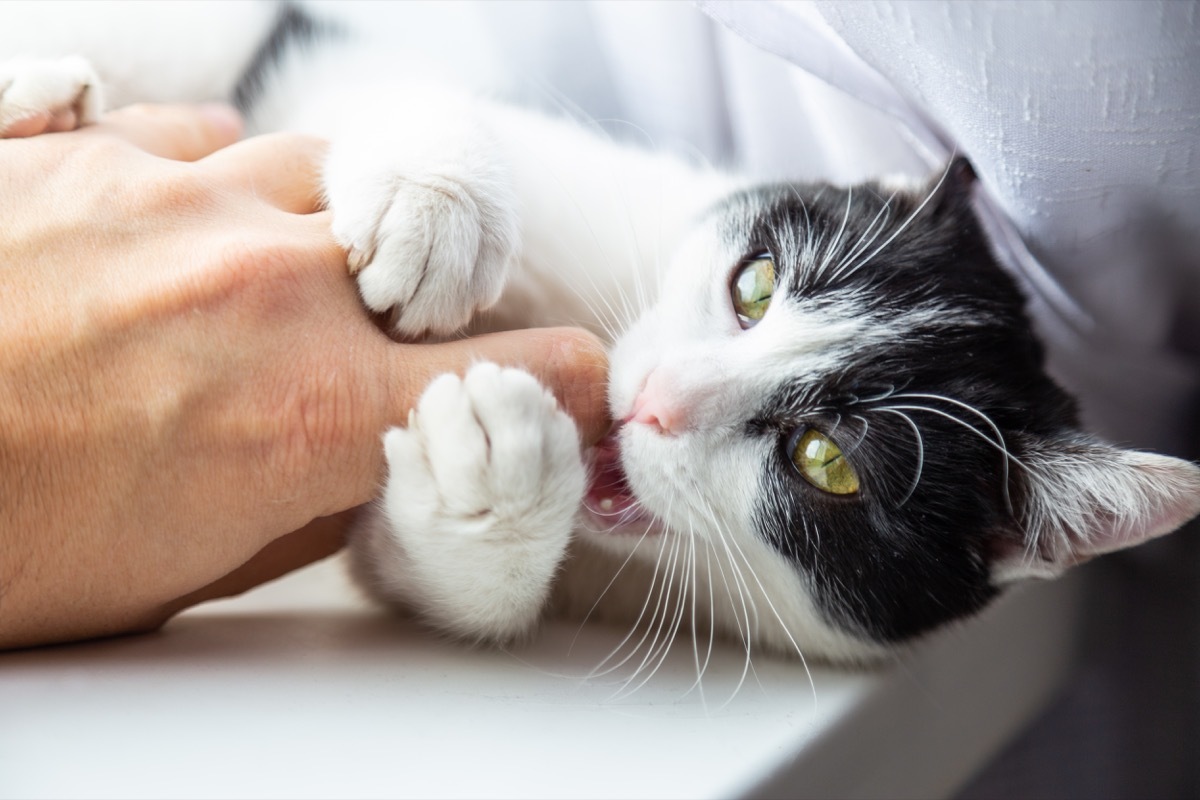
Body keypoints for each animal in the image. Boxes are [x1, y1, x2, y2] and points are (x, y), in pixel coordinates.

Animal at [4, 3, 1195, 666]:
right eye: (755, 283)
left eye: (828, 462)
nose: (656, 397)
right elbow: (387, 81)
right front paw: (436, 196)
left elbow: (413, 572)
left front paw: (490, 483)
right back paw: (41, 92)